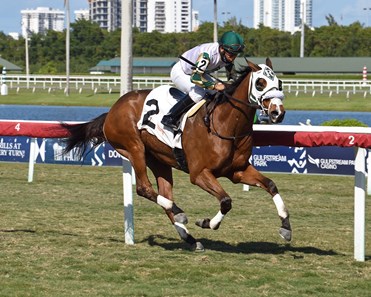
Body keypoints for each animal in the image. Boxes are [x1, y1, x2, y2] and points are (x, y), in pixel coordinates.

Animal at [64, 57, 292, 250]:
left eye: (279, 83)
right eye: (260, 82)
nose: (277, 112)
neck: (225, 124)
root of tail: (113, 109)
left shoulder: (238, 171)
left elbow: (270, 185)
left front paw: (286, 227)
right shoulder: (199, 174)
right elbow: (226, 201)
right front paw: (208, 222)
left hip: (159, 160)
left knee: (164, 195)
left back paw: (189, 238)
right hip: (133, 148)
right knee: (144, 188)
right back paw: (180, 214)